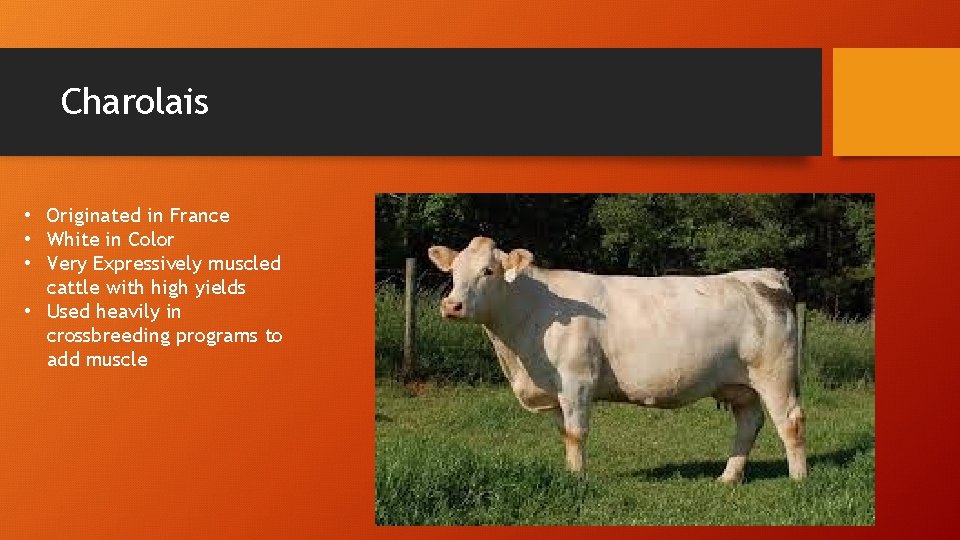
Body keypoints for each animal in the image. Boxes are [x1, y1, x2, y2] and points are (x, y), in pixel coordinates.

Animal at [427, 236, 807, 484]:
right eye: (453, 272)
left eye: (488, 270)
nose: (452, 305)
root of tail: (763, 276)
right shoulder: (554, 390)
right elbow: (565, 433)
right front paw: (571, 474)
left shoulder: (577, 380)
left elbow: (576, 432)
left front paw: (577, 481)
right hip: (740, 384)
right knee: (748, 423)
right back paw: (728, 477)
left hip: (775, 374)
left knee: (790, 421)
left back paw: (798, 479)